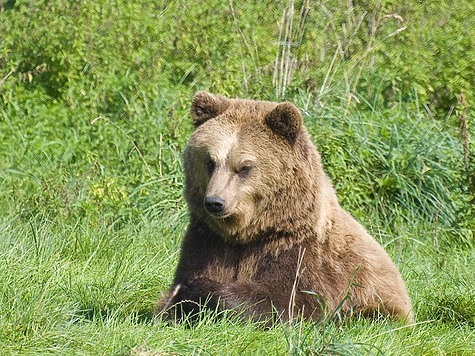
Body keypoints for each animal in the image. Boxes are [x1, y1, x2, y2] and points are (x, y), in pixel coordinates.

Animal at [158, 91, 414, 322]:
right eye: (210, 161)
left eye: (244, 167)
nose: (214, 202)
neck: (248, 233)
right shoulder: (208, 241)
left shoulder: (299, 251)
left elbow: (288, 300)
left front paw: (202, 291)